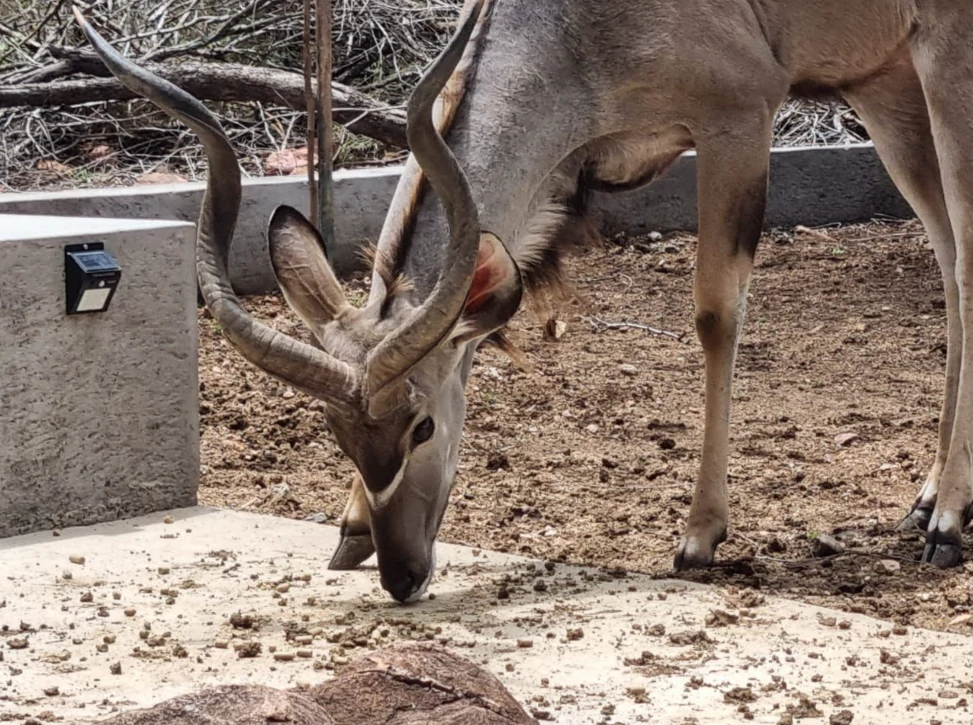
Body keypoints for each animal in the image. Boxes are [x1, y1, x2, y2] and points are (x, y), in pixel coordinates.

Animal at [78, 0, 972, 600]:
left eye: (422, 426)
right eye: (337, 433)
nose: (402, 574)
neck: (576, 31)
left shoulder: (737, 119)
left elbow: (715, 315)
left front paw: (698, 537)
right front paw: (348, 527)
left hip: (941, 67)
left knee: (963, 258)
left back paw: (948, 522)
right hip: (886, 90)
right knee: (948, 258)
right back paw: (926, 499)